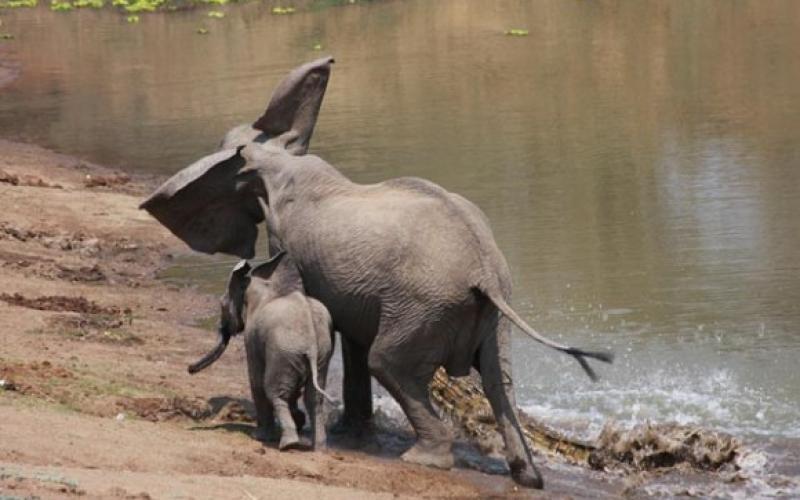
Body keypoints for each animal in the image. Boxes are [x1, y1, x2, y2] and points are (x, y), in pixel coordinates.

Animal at [219, 252, 334, 452]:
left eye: (222, 305)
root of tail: (311, 341)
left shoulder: (252, 337)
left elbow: (256, 381)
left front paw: (259, 437)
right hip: (321, 352)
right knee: (314, 398)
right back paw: (319, 448)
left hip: (284, 350)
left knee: (274, 391)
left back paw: (288, 444)